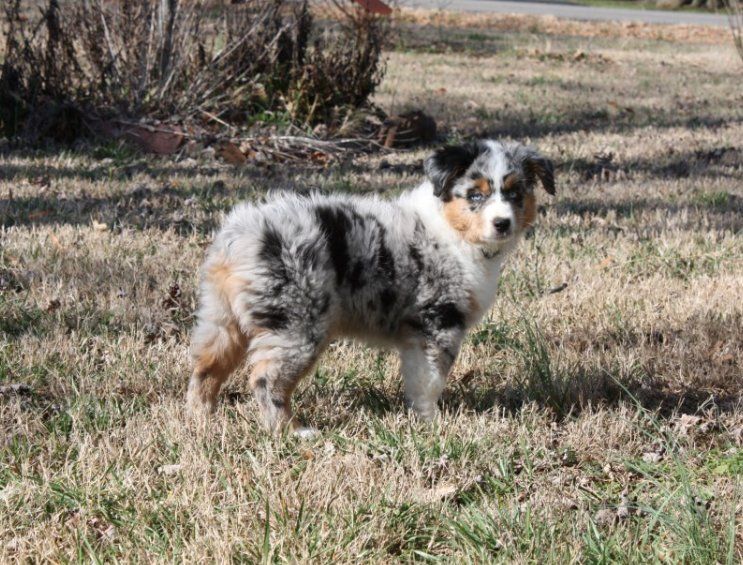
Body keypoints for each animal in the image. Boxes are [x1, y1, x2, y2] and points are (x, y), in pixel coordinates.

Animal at [189, 139, 556, 434]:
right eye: (475, 195)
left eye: (515, 194)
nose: (502, 223)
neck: (452, 228)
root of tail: (240, 236)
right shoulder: (438, 322)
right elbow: (430, 380)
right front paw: (433, 423)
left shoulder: (417, 334)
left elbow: (418, 377)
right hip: (297, 323)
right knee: (266, 379)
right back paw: (291, 431)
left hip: (222, 315)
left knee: (206, 367)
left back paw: (202, 420)